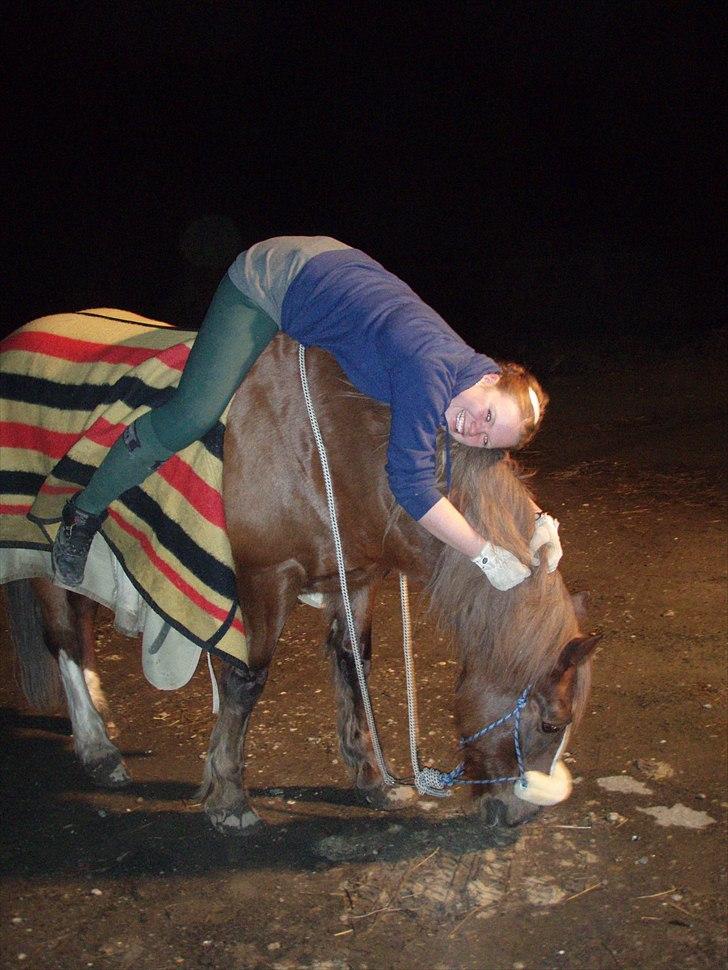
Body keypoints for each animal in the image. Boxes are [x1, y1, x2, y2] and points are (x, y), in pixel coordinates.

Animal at [2, 328, 600, 832]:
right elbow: (246, 681)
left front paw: (375, 781)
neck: (333, 449)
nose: (518, 816)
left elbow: (354, 668)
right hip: (43, 553)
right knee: (64, 635)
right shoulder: (264, 582)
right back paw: (97, 748)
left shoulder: (355, 581)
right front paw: (228, 797)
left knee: (80, 628)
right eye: (552, 724)